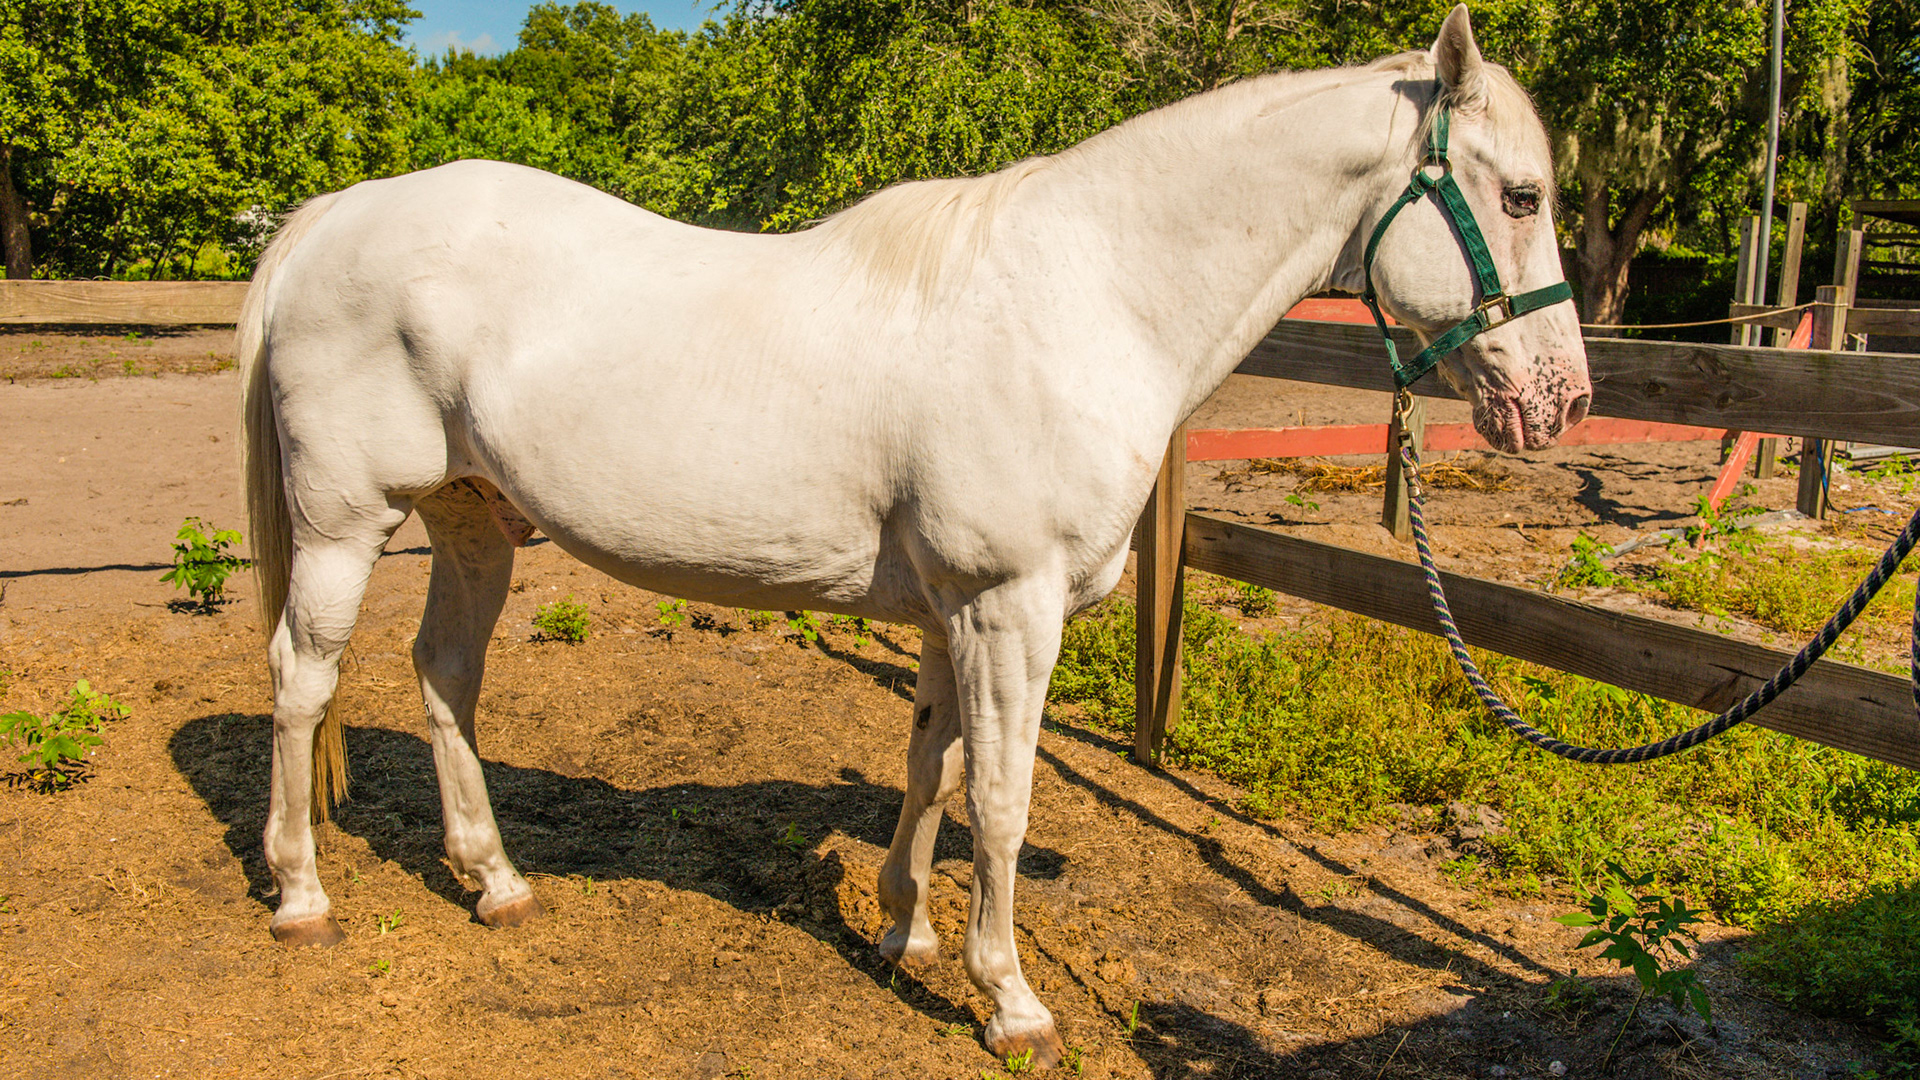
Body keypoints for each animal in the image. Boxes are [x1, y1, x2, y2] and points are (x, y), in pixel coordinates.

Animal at [239, 6, 1588, 1066]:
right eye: (1520, 196)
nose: (1560, 402)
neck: (1084, 298)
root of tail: (334, 218)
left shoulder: (954, 615)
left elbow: (931, 766)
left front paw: (904, 929)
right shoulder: (1009, 606)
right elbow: (1002, 798)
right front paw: (1011, 1001)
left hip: (472, 521)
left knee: (445, 677)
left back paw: (498, 883)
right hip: (344, 523)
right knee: (302, 682)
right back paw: (301, 896)